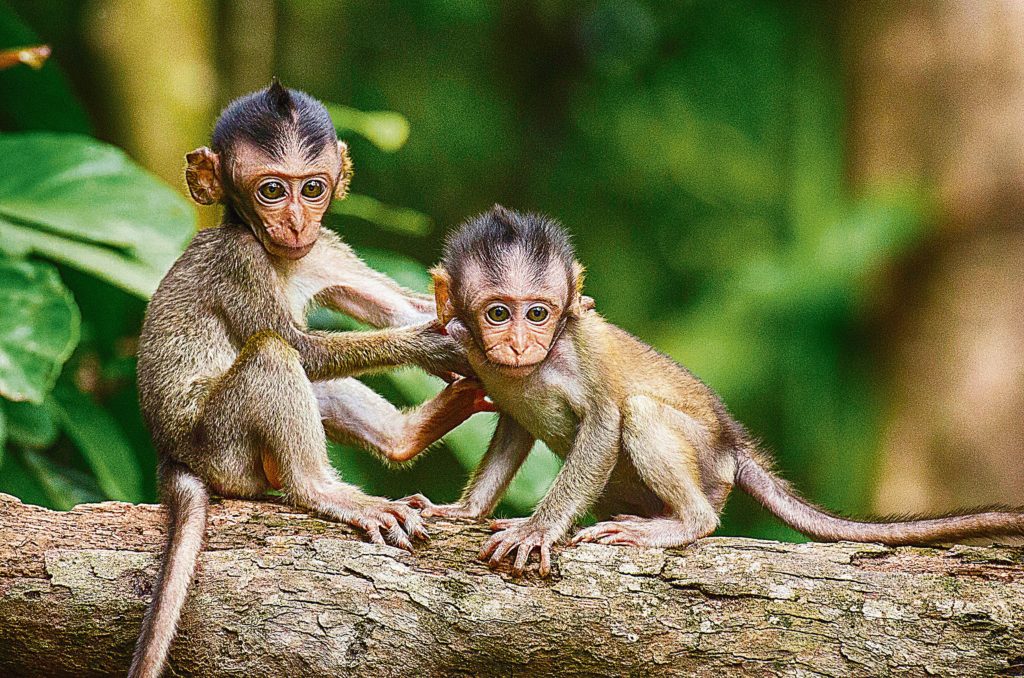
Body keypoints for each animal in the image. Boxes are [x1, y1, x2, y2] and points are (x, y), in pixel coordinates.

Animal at [129, 80, 487, 678]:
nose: (296, 221)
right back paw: (322, 489)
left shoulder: (325, 248)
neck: (279, 255)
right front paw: (437, 344)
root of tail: (171, 455)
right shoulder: (240, 262)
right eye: (272, 190)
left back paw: (407, 435)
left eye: (313, 188)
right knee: (274, 355)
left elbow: (400, 307)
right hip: (222, 448)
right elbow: (301, 349)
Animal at [405, 206, 1024, 577]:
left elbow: (605, 421)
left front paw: (538, 529)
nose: (517, 344)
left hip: (707, 462)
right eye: (498, 313)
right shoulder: (477, 359)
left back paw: (685, 522)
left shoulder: (579, 348)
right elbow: (512, 426)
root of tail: (733, 445)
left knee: (642, 414)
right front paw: (464, 511)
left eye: (538, 313)